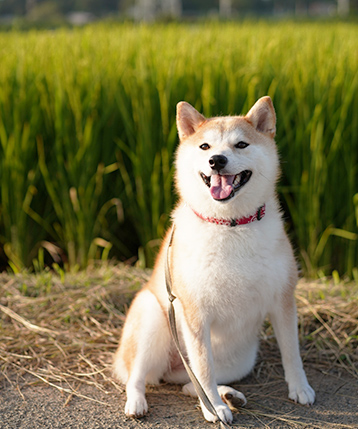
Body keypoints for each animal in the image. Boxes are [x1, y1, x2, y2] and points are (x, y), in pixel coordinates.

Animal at [113, 95, 314, 422]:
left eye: (241, 144)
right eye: (205, 146)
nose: (216, 160)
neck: (230, 225)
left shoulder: (283, 300)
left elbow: (292, 353)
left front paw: (300, 388)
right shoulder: (195, 313)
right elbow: (204, 368)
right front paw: (215, 410)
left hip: (239, 360)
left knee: (189, 384)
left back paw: (229, 395)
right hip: (154, 321)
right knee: (139, 376)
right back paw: (139, 403)